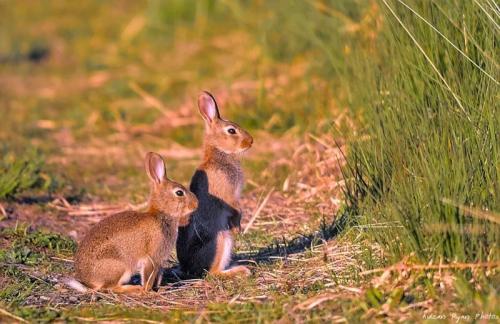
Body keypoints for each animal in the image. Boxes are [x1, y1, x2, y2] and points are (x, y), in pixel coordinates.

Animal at [65, 152, 198, 294]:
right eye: (179, 193)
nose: (196, 204)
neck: (161, 214)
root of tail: (88, 282)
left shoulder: (159, 261)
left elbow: (158, 276)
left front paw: (160, 288)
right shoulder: (151, 258)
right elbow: (148, 278)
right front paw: (147, 291)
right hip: (120, 266)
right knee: (110, 287)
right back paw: (134, 288)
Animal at [177, 92, 254, 278]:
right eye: (231, 130)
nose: (251, 141)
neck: (220, 152)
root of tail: (188, 269)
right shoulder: (229, 195)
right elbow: (236, 208)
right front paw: (238, 229)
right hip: (221, 239)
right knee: (213, 273)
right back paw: (242, 270)